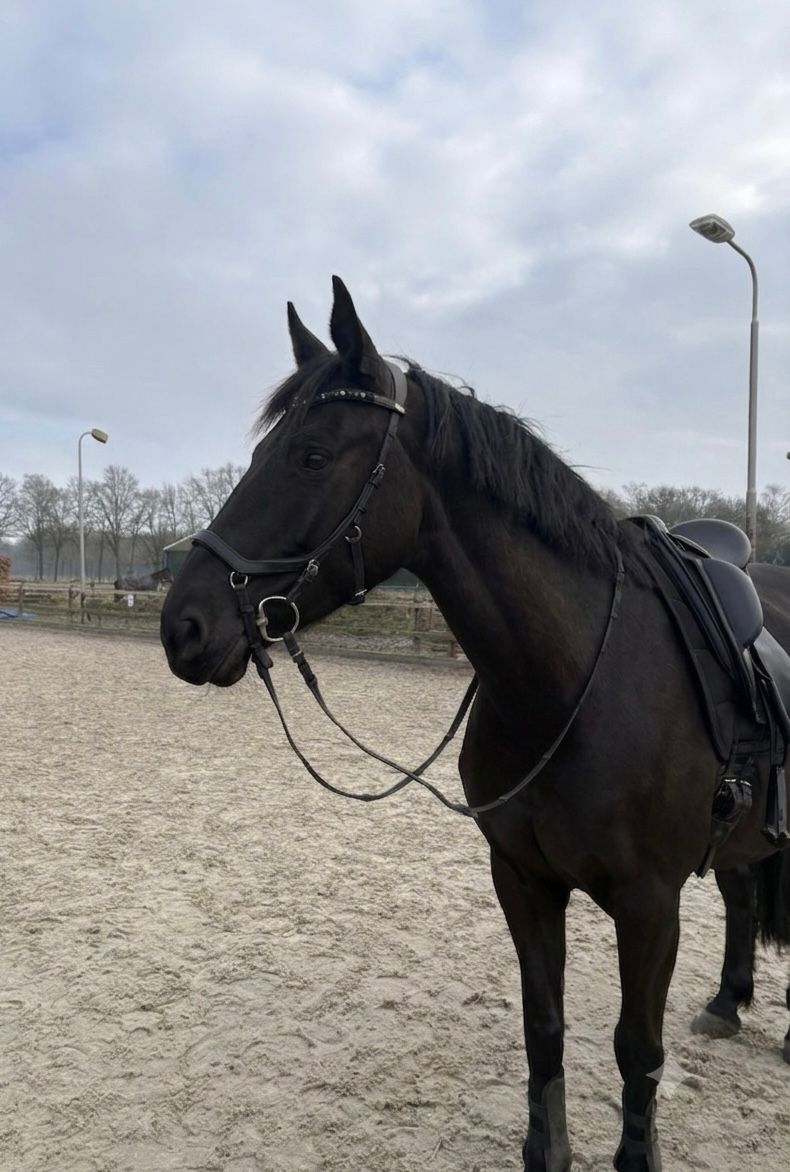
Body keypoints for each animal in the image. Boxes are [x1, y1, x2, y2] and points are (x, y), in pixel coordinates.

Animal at [160, 276, 790, 1171]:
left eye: (311, 455)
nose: (183, 626)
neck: (571, 682)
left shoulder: (648, 903)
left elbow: (637, 1049)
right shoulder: (522, 880)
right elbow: (545, 1029)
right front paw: (547, 1151)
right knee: (740, 891)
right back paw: (729, 1003)